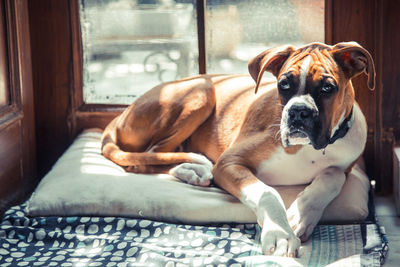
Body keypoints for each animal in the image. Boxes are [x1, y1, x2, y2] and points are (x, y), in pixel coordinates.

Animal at [101, 42, 376, 258]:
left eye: (328, 88)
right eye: (283, 85)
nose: (299, 112)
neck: (308, 150)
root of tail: (122, 113)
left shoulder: (345, 165)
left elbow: (333, 176)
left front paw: (299, 215)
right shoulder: (229, 162)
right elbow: (266, 192)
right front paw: (280, 233)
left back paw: (194, 172)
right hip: (201, 90)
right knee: (146, 158)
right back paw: (194, 171)